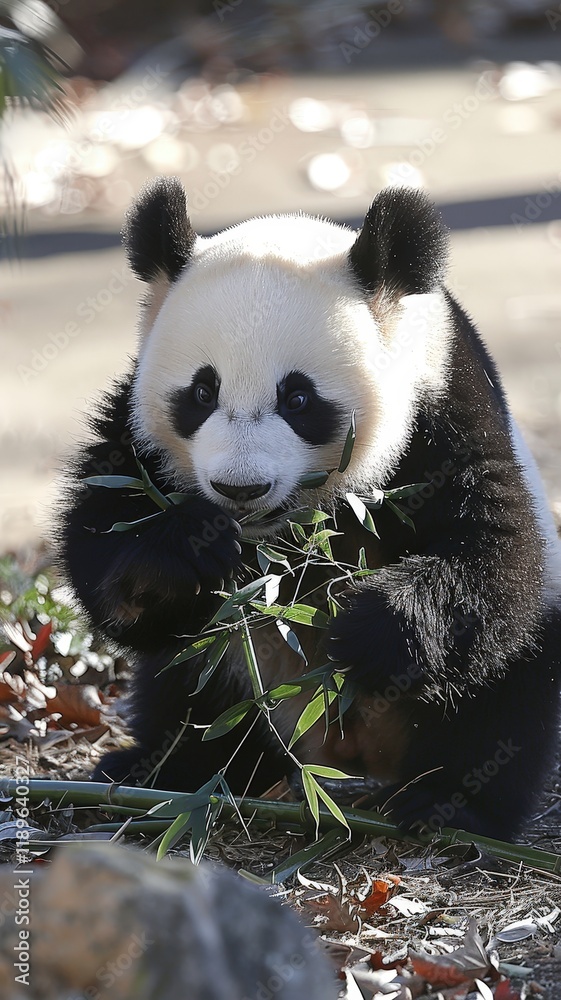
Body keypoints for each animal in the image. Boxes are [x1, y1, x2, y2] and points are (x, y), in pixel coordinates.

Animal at [59, 176, 561, 841]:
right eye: (202, 391)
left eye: (297, 398)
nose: (240, 489)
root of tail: (340, 754)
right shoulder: (136, 432)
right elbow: (103, 536)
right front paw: (184, 550)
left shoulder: (444, 409)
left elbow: (495, 546)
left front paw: (370, 624)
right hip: (234, 677)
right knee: (188, 689)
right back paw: (162, 772)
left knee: (504, 691)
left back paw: (448, 803)